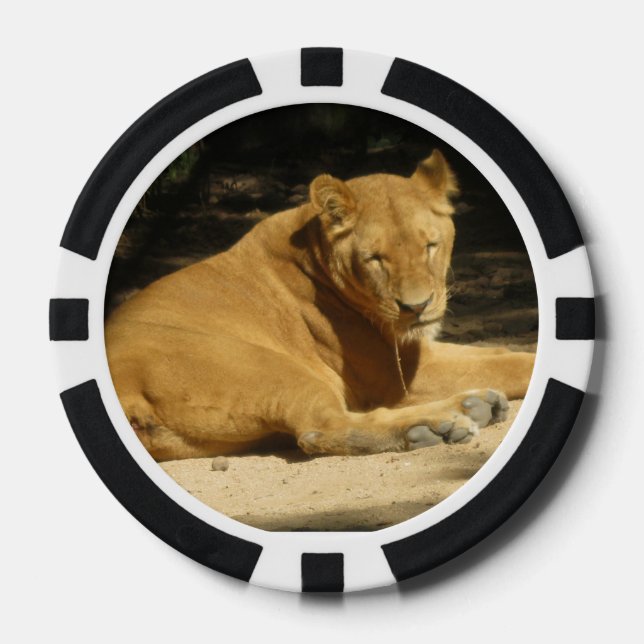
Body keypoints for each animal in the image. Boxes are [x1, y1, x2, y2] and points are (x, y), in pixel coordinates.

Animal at [105, 150, 535, 461]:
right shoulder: (397, 377)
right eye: (376, 259)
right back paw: (440, 424)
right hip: (272, 366)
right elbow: (509, 364)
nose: (417, 307)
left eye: (430, 245)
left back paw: (475, 405)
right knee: (320, 430)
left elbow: (500, 352)